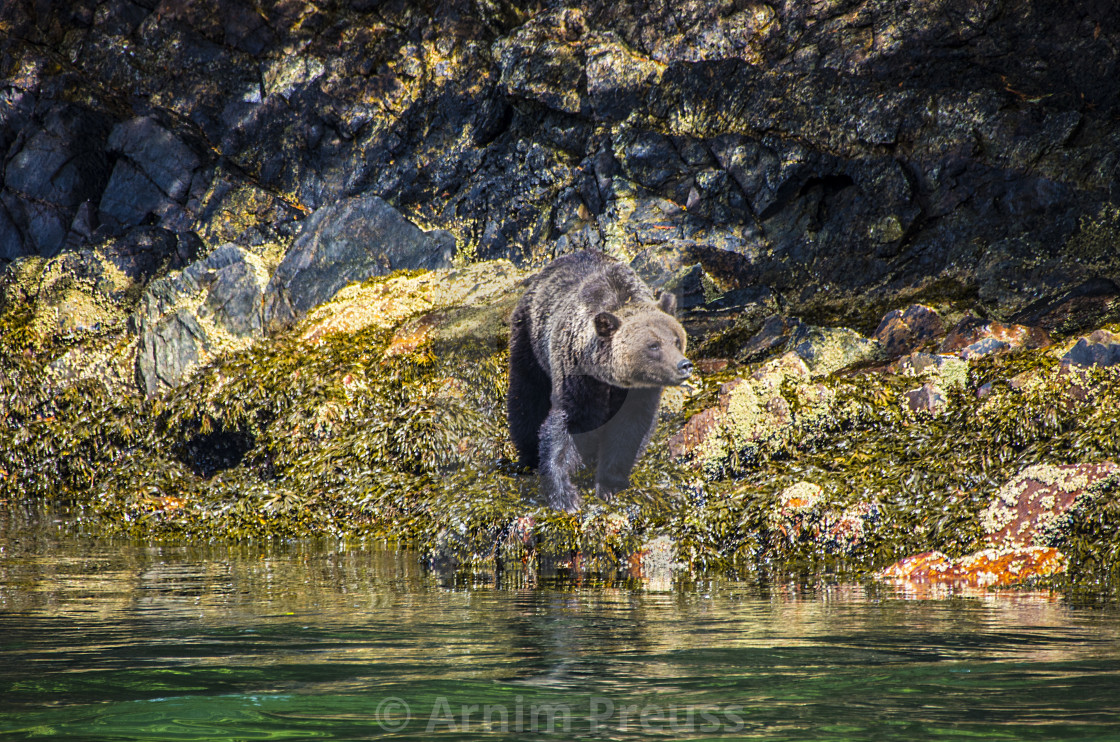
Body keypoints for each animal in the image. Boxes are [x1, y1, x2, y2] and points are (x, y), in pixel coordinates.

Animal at [508, 249, 689, 511]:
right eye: (653, 345)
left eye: (676, 340)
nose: (684, 365)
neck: (612, 381)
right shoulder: (578, 377)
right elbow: (565, 427)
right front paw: (564, 495)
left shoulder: (640, 394)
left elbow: (629, 431)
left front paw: (609, 485)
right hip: (529, 341)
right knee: (527, 397)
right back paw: (528, 456)